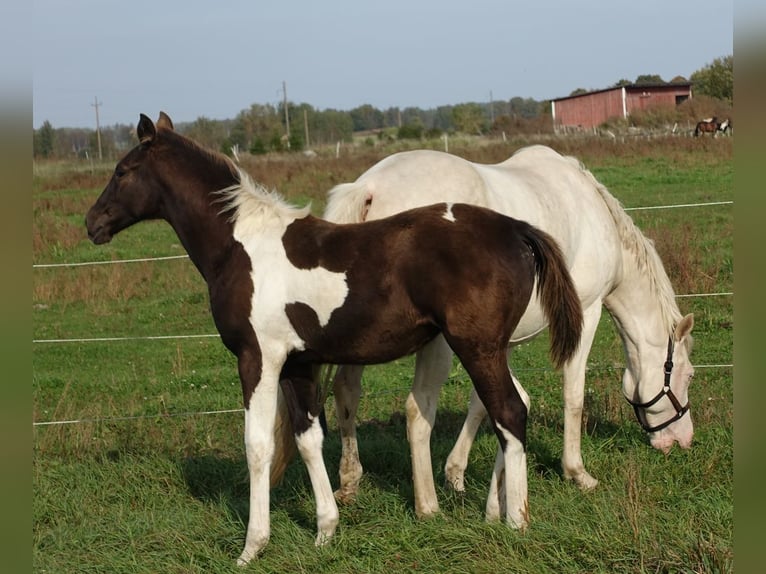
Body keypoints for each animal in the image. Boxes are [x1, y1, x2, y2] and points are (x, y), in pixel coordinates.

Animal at [84, 113, 584, 568]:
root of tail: (516, 228)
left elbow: (258, 446)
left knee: (510, 413)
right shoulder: (299, 364)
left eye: (123, 171)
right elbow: (309, 439)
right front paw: (325, 531)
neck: (242, 247)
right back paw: (494, 513)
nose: (92, 223)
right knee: (512, 409)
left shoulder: (257, 358)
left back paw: (516, 524)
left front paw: (252, 547)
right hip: (491, 349)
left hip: (477, 348)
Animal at [304, 145, 696, 512]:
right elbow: (572, 394)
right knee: (418, 408)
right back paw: (426, 503)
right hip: (435, 343)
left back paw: (350, 481)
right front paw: (577, 472)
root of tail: (370, 188)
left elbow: (485, 403)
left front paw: (457, 473)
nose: (683, 441)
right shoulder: (587, 312)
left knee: (346, 391)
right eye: (689, 375)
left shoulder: (494, 341)